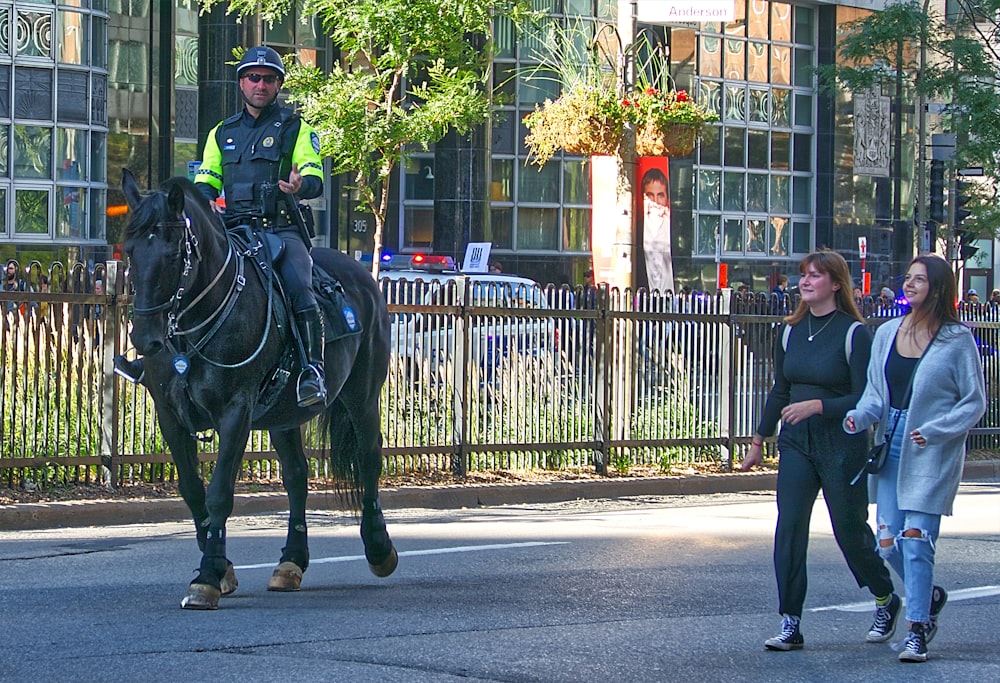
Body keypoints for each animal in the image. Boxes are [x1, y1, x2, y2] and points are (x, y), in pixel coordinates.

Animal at [120, 171, 394, 608]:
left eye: (172, 253)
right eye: (130, 251)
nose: (145, 339)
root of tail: (363, 274)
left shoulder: (236, 412)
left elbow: (219, 493)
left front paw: (208, 577)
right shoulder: (169, 416)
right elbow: (193, 491)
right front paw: (222, 570)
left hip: (362, 399)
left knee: (368, 460)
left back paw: (379, 548)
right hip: (284, 416)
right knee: (297, 477)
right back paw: (291, 562)